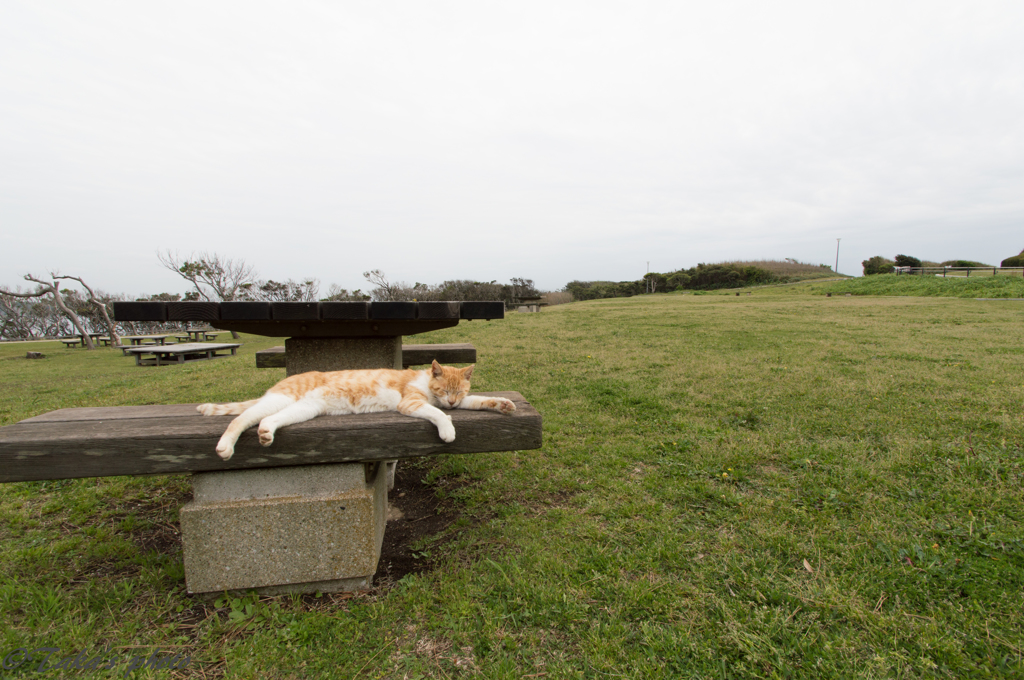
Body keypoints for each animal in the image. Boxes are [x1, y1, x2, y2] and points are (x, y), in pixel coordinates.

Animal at [195, 358, 516, 458]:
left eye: (459, 392)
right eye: (444, 391)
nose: (452, 401)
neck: (426, 382)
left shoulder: (463, 402)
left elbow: (479, 401)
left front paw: (502, 404)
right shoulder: (411, 402)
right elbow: (437, 413)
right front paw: (447, 428)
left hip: (304, 409)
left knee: (268, 420)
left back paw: (265, 433)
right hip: (282, 399)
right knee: (242, 417)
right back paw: (225, 447)